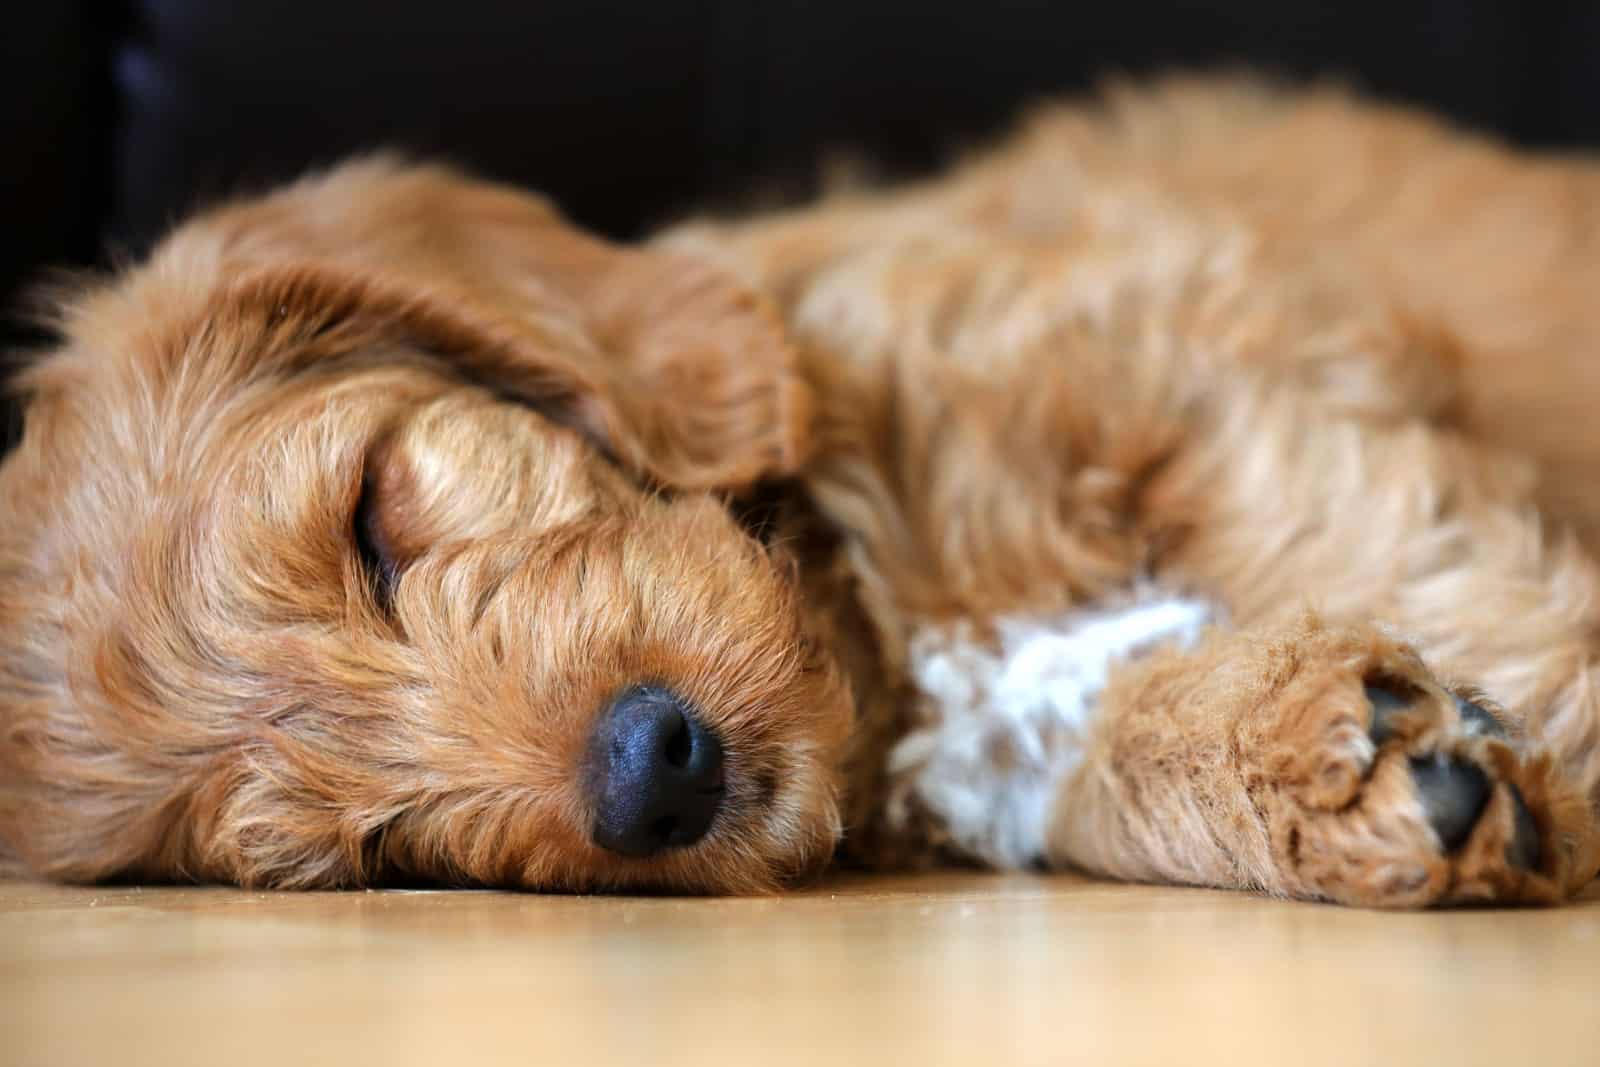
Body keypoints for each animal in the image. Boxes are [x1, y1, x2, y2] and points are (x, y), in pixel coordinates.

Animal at [3, 77, 1600, 908]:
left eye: (372, 519)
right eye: (365, 852)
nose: (653, 774)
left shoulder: (1180, 346)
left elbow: (1366, 522)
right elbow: (1090, 763)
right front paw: (1358, 763)